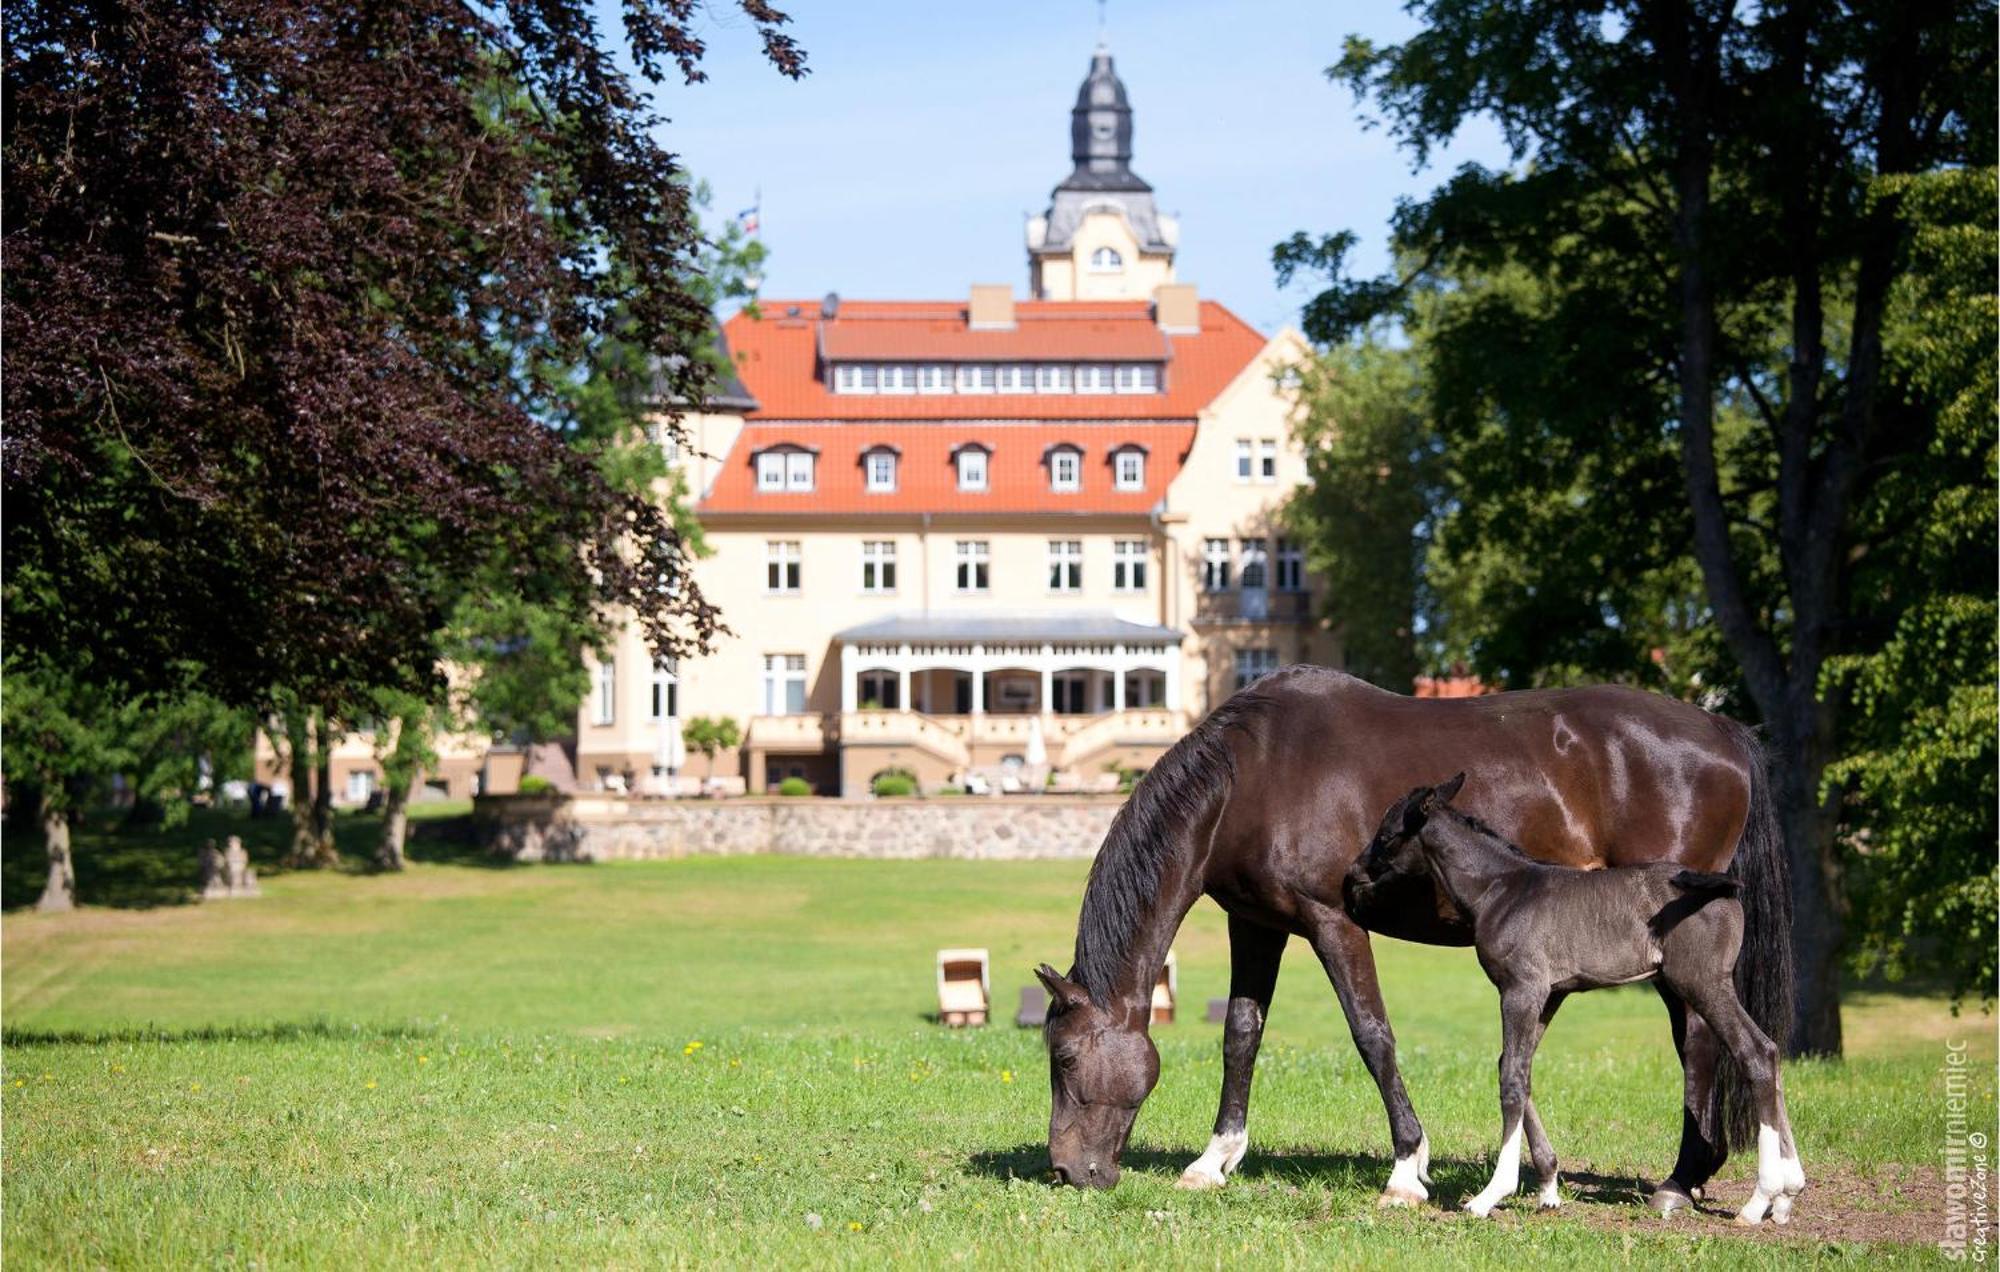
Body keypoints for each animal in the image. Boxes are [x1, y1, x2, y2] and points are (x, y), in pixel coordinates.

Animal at [1360, 776, 1816, 1224]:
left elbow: (1512, 1079)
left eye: (1386, 836)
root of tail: (1722, 888)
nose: (1356, 872)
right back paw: (1788, 1192)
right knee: (1770, 1051)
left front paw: (1490, 1195)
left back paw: (1760, 1198)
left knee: (1755, 1053)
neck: (1500, 889)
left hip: (1702, 982)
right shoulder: (1550, 995)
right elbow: (1516, 1067)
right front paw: (1548, 1189)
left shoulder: (1521, 989)